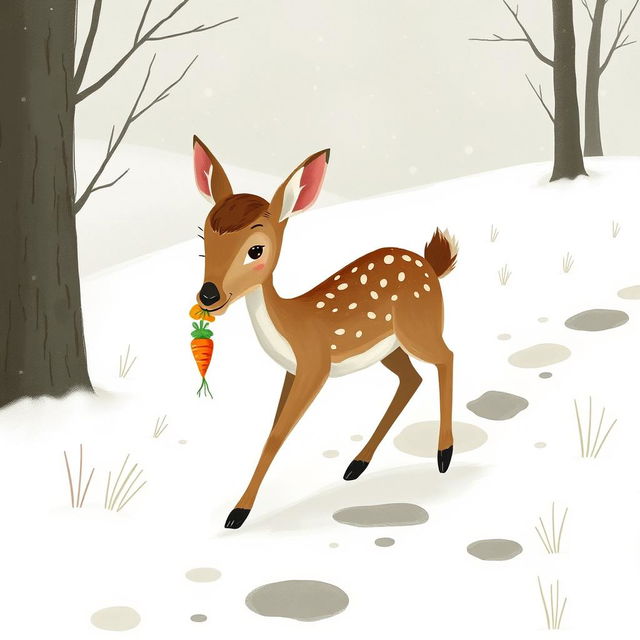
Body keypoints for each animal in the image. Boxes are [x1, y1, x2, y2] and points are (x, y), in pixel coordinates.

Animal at [192, 136, 458, 529]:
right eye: (204, 240)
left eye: (256, 249)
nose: (208, 296)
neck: (289, 324)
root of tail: (431, 264)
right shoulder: (290, 371)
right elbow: (273, 429)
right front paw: (241, 508)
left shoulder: (315, 364)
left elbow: (277, 434)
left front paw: (238, 513)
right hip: (388, 347)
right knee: (411, 379)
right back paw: (356, 464)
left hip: (419, 327)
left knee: (446, 358)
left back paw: (444, 455)